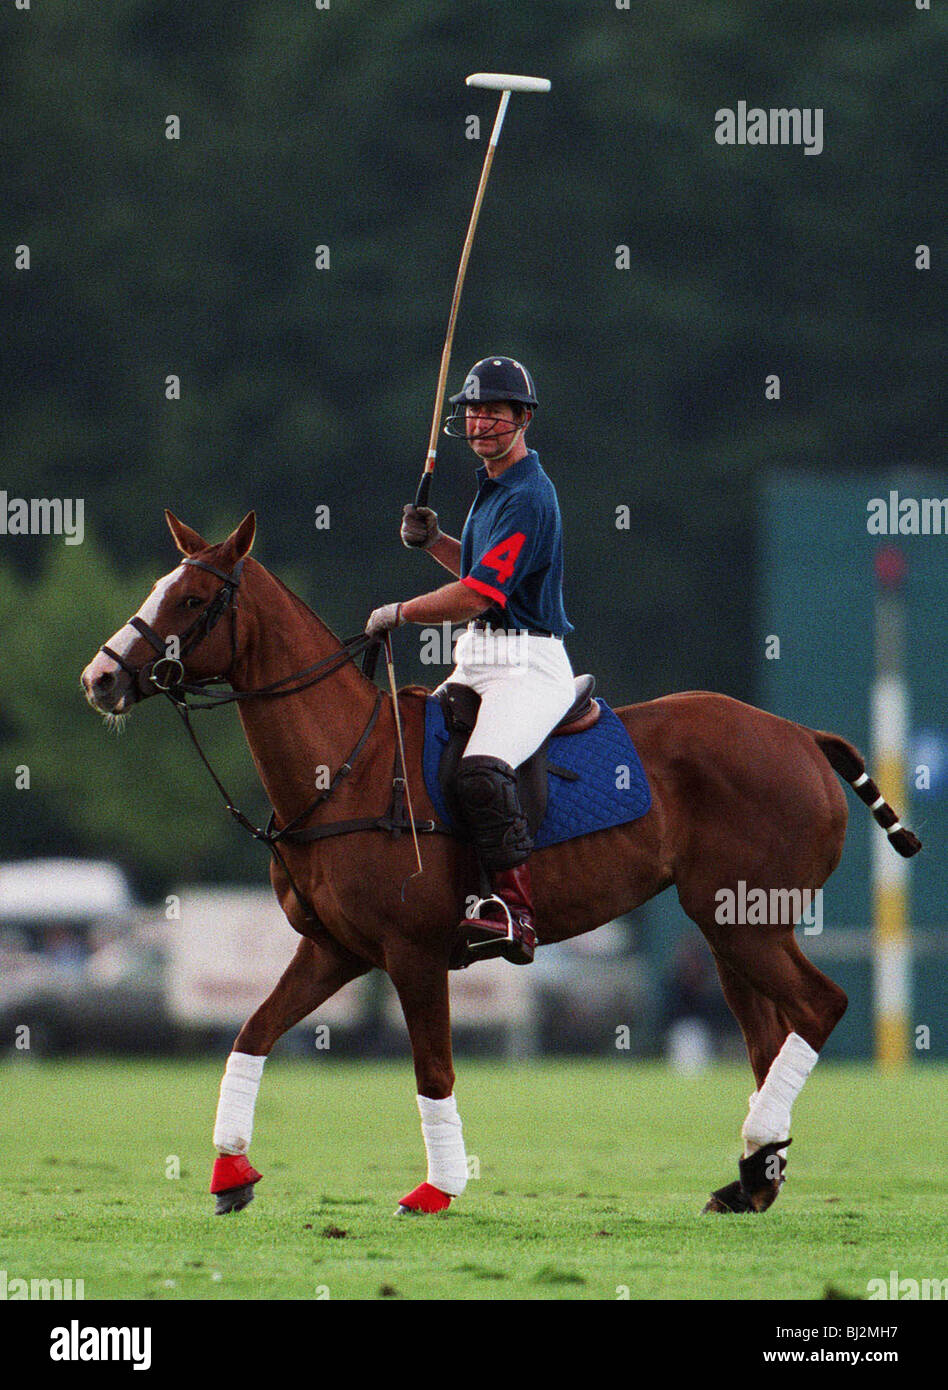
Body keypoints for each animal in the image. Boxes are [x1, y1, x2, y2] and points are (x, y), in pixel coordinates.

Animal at [79, 511, 917, 1217]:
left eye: (191, 598)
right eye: (158, 590)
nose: (100, 678)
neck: (346, 766)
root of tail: (803, 736)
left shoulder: (413, 951)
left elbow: (433, 1070)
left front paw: (436, 1190)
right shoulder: (335, 949)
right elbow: (250, 1034)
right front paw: (231, 1175)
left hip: (745, 918)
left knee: (820, 1007)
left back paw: (754, 1164)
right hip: (727, 927)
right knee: (767, 1037)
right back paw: (752, 1179)